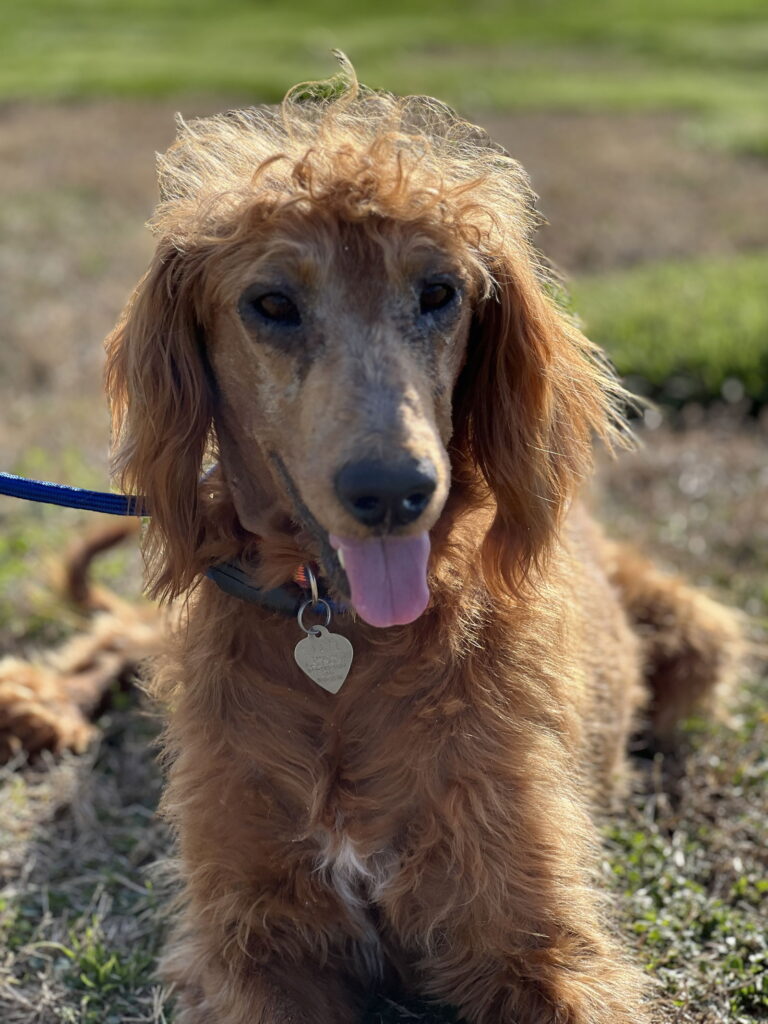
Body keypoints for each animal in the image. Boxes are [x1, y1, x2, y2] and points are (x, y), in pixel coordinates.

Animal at [103, 64, 745, 1024]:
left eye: (439, 292)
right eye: (272, 304)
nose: (393, 492)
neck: (339, 637)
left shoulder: (535, 941)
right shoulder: (253, 940)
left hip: (697, 639)